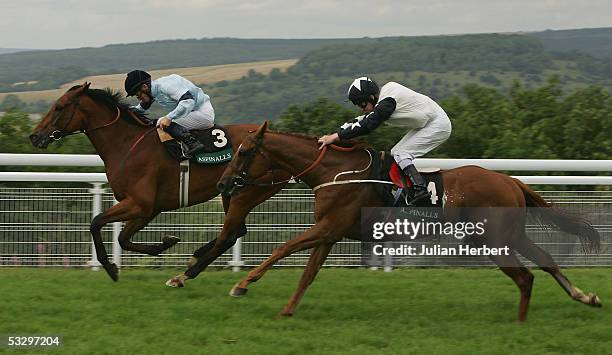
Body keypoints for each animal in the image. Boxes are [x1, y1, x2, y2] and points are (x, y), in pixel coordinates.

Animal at [31, 83, 292, 284]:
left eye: (59, 107)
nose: (34, 136)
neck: (127, 145)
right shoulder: (149, 208)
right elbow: (122, 238)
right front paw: (165, 243)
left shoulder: (140, 203)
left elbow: (95, 223)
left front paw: (110, 268)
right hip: (232, 192)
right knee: (237, 231)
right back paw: (195, 257)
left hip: (243, 191)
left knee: (232, 232)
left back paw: (190, 269)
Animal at [215, 122, 604, 322]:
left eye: (244, 152)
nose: (223, 183)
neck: (335, 172)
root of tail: (510, 181)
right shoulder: (331, 234)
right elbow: (307, 274)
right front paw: (288, 309)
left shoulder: (328, 228)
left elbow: (282, 248)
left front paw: (242, 285)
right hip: (511, 235)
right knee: (546, 262)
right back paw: (586, 297)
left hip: (491, 240)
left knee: (525, 277)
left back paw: (521, 323)